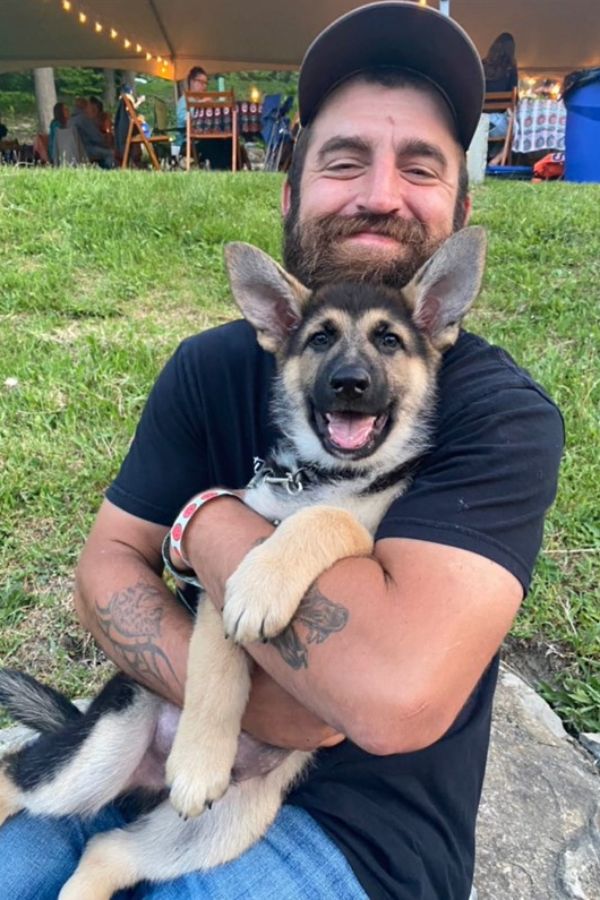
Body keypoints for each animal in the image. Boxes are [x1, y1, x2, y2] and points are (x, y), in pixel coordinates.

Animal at [0, 225, 488, 892]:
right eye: (319, 339)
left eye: (389, 340)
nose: (349, 383)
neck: (321, 476)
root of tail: (145, 775)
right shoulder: (214, 572)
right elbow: (216, 662)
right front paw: (202, 757)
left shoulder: (367, 546)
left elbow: (327, 519)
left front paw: (266, 583)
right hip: (108, 741)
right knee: (17, 779)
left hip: (222, 826)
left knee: (105, 850)